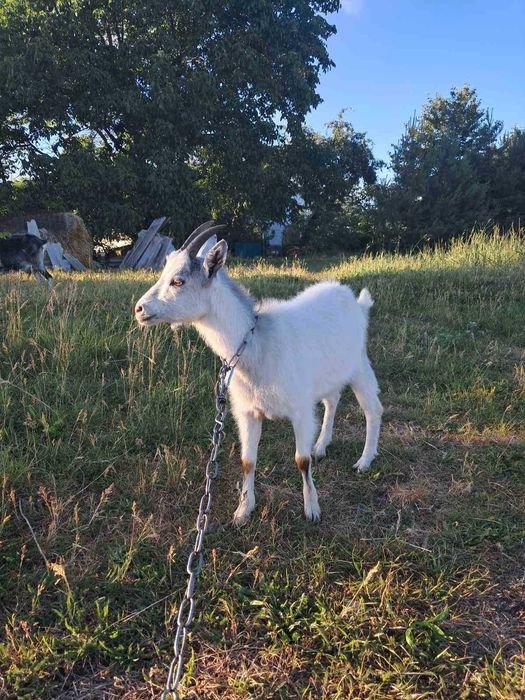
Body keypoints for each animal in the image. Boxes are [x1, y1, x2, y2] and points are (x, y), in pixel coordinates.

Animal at [134, 222, 382, 524]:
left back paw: (364, 461)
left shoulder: (300, 409)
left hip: (358, 365)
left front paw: (312, 509)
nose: (139, 309)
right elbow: (247, 461)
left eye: (178, 281)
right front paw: (243, 510)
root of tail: (355, 301)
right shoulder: (247, 412)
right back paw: (321, 446)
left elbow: (301, 461)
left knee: (373, 408)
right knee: (332, 400)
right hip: (328, 373)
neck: (257, 344)